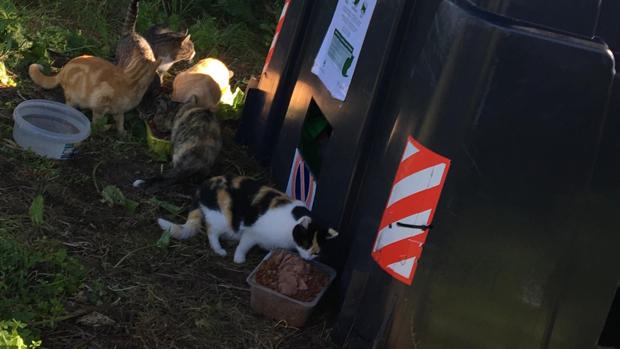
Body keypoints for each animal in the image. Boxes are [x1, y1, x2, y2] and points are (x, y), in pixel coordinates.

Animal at [28, 35, 160, 133]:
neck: (131, 80)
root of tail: (63, 69)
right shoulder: (99, 104)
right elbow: (97, 123)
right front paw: (104, 128)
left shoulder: (119, 110)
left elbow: (120, 121)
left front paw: (121, 132)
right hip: (74, 98)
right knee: (68, 106)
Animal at [155, 175, 340, 262]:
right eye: (306, 242)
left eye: (317, 250)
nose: (310, 256)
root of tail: (202, 186)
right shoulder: (252, 232)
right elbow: (244, 245)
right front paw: (239, 259)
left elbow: (271, 252)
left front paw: (267, 260)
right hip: (221, 218)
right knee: (211, 232)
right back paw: (219, 249)